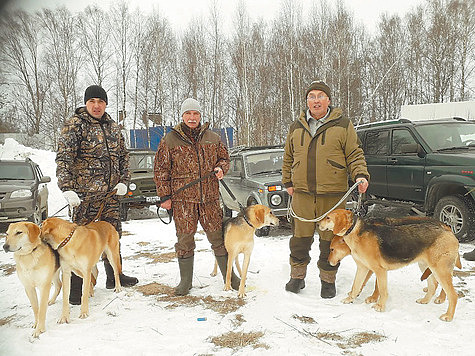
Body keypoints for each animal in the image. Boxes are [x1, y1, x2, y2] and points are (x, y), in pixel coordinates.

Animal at [320, 209, 462, 322]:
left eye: (328, 218)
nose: (317, 224)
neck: (355, 232)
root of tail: (448, 230)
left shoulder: (379, 270)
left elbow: (381, 290)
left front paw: (379, 306)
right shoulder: (362, 268)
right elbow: (356, 285)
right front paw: (350, 299)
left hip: (440, 270)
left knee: (453, 295)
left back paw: (448, 315)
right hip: (425, 265)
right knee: (433, 285)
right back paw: (425, 300)